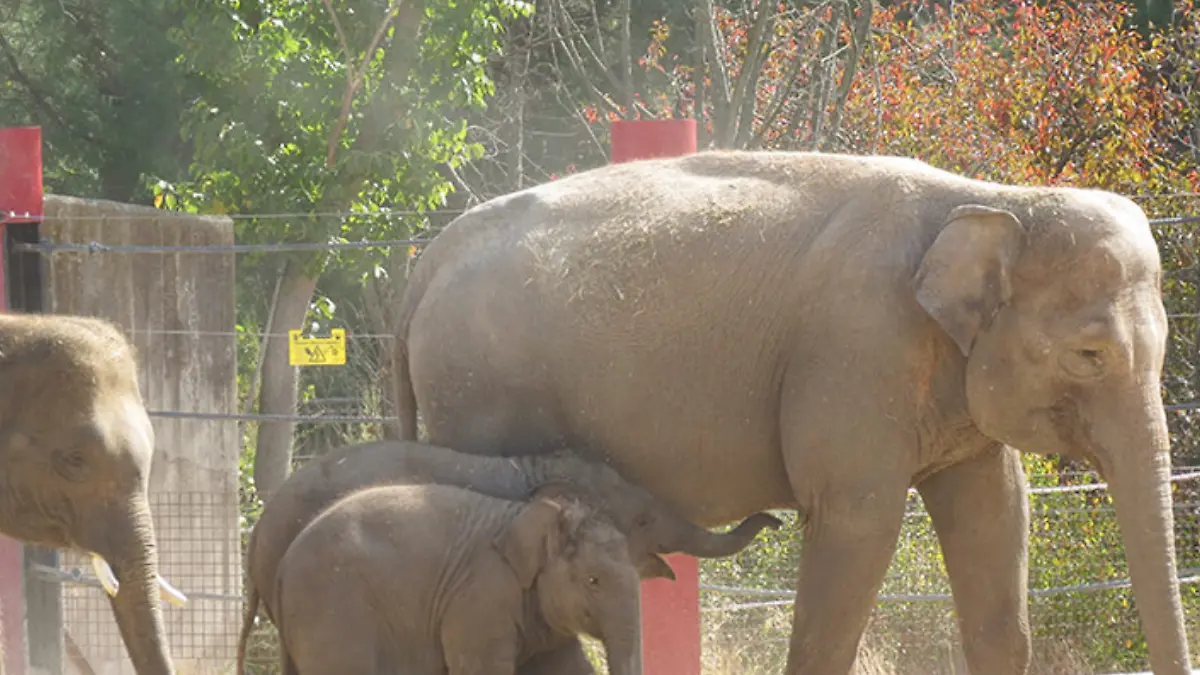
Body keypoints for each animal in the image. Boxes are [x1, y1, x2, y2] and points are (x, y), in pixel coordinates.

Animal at [391, 150, 1192, 675]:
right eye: (1089, 355)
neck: (994, 197)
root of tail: (428, 260)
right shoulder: (854, 353)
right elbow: (858, 524)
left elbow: (995, 513)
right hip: (479, 396)